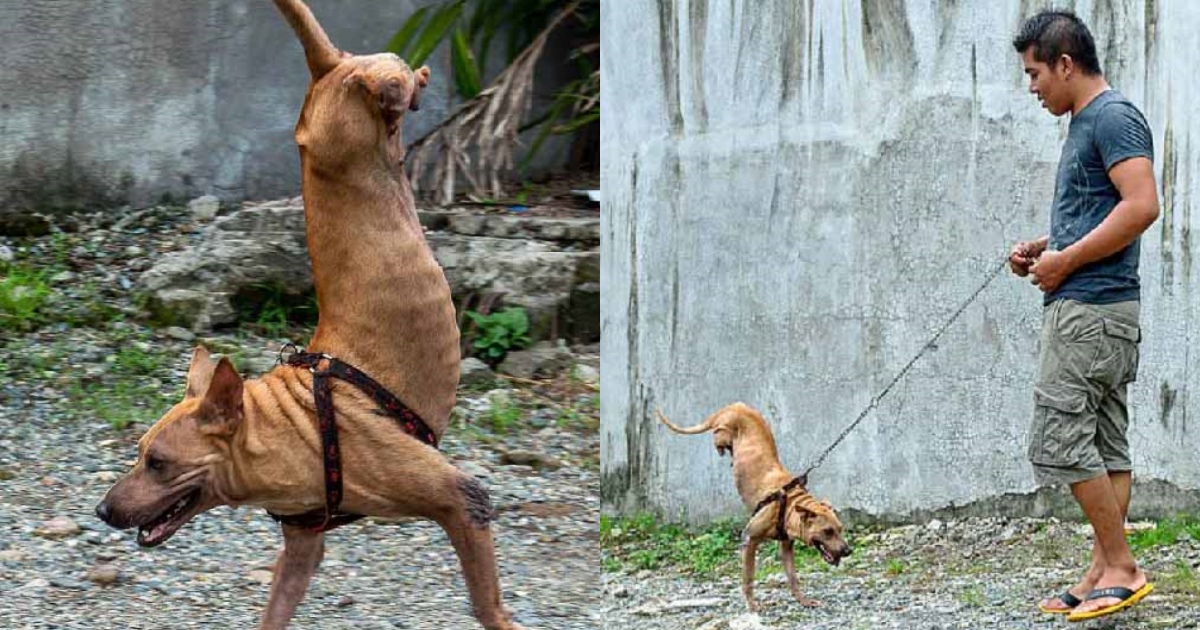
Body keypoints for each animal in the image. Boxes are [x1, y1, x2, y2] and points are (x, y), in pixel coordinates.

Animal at [91, 2, 523, 624]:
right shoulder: (302, 545)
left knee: (389, 78)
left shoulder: (461, 498)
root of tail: (329, 69)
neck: (290, 428)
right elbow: (276, 609)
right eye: (140, 455)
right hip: (335, 126)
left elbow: (486, 603)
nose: (102, 511)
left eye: (158, 464)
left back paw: (410, 85)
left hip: (358, 104)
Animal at [662, 403, 849, 609]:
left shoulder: (786, 546)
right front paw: (752, 604)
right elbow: (748, 577)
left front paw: (803, 600)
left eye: (840, 529)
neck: (789, 503)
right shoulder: (749, 539)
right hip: (723, 430)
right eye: (827, 531)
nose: (848, 551)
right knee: (718, 438)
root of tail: (733, 406)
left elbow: (793, 577)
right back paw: (723, 449)